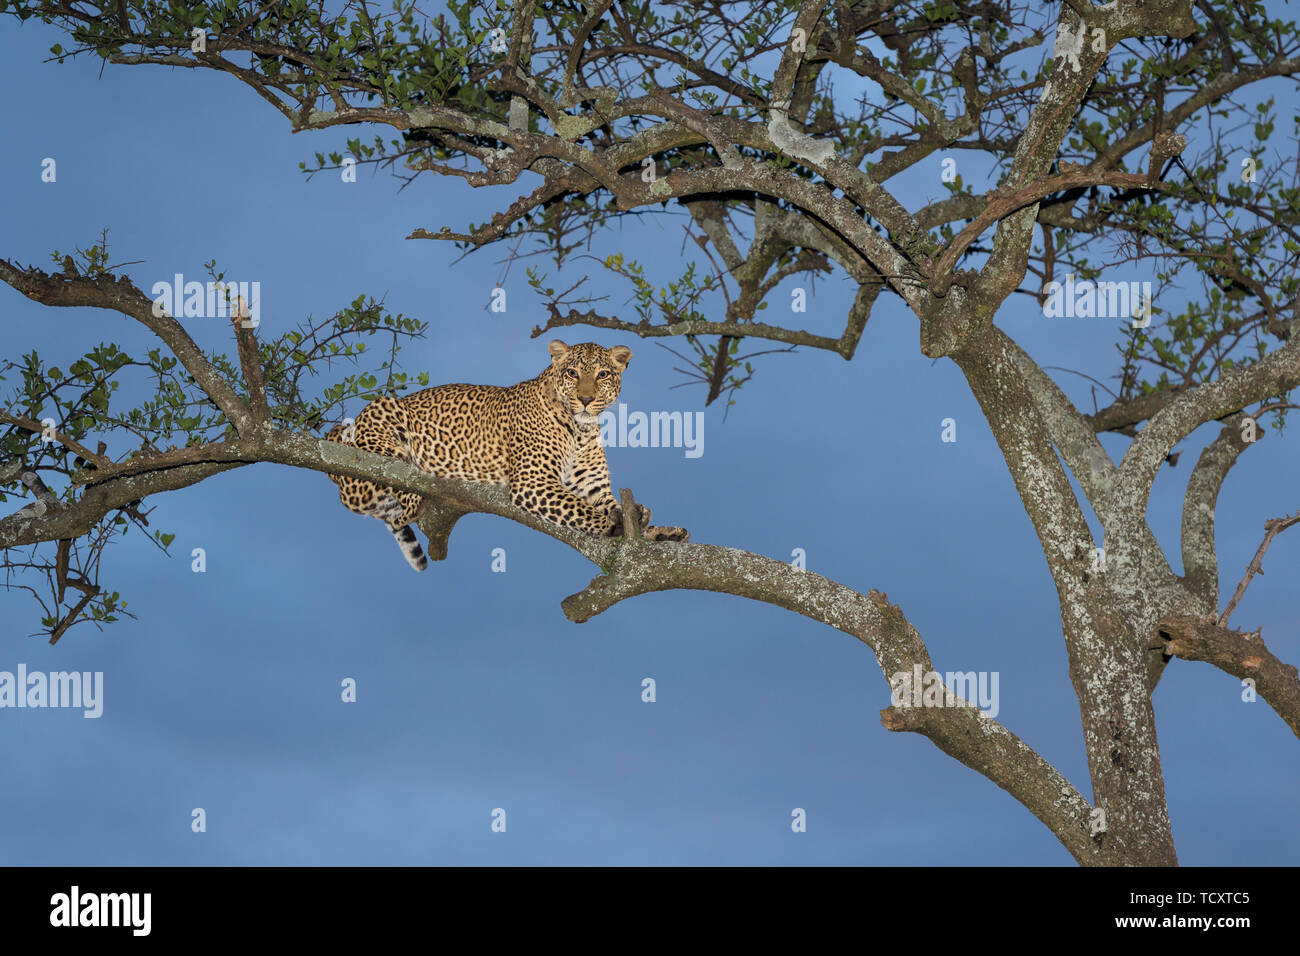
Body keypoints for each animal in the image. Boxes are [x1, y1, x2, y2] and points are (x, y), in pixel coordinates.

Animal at [325, 340, 691, 572]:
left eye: (603, 374)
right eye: (572, 373)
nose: (586, 400)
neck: (581, 427)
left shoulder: (594, 488)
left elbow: (613, 508)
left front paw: (657, 530)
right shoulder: (534, 482)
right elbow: (580, 509)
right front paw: (614, 526)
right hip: (382, 412)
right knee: (393, 474)